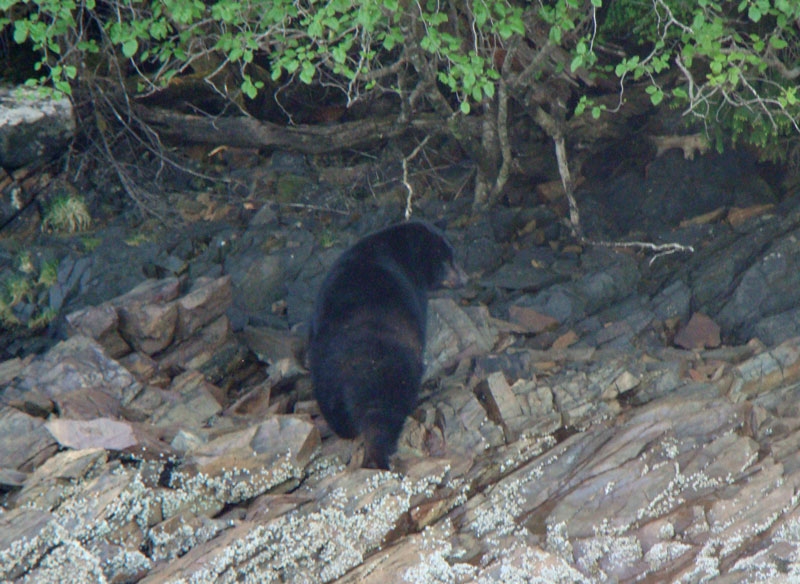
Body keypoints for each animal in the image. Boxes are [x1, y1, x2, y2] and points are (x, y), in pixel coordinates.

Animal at [308, 220, 468, 470]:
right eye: (447, 260)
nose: (465, 278)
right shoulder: (415, 293)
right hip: (384, 370)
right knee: (382, 416)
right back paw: (383, 455)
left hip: (324, 375)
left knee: (333, 408)